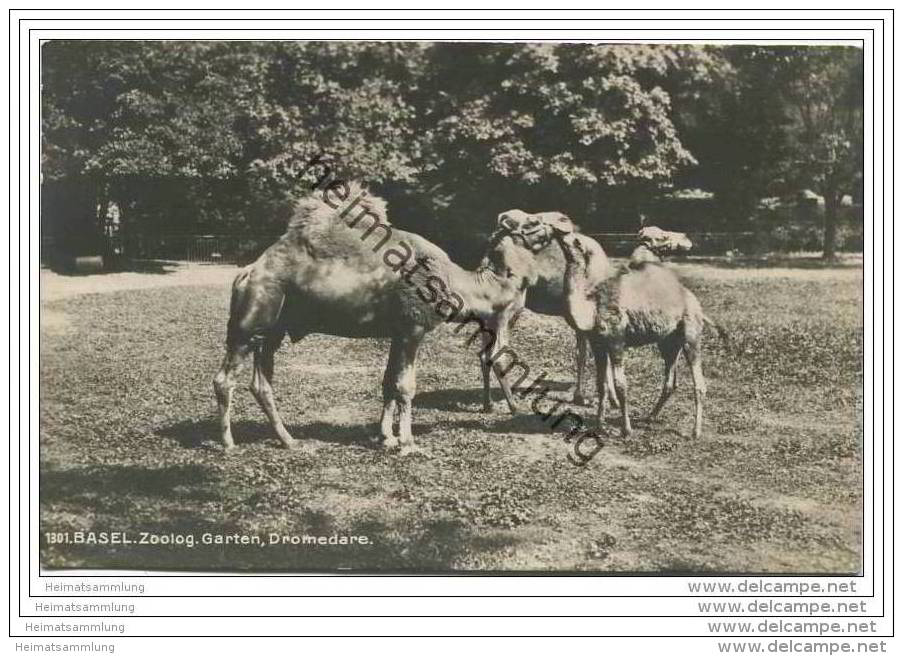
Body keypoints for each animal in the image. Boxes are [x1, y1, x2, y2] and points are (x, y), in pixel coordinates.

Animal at [213, 182, 540, 454]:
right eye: (529, 223)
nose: (546, 223)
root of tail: (247, 272)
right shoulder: (413, 328)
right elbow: (406, 386)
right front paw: (407, 443)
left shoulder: (398, 331)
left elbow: (388, 383)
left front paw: (386, 438)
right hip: (249, 321)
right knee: (224, 379)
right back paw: (229, 443)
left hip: (272, 331)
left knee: (261, 384)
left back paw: (288, 440)